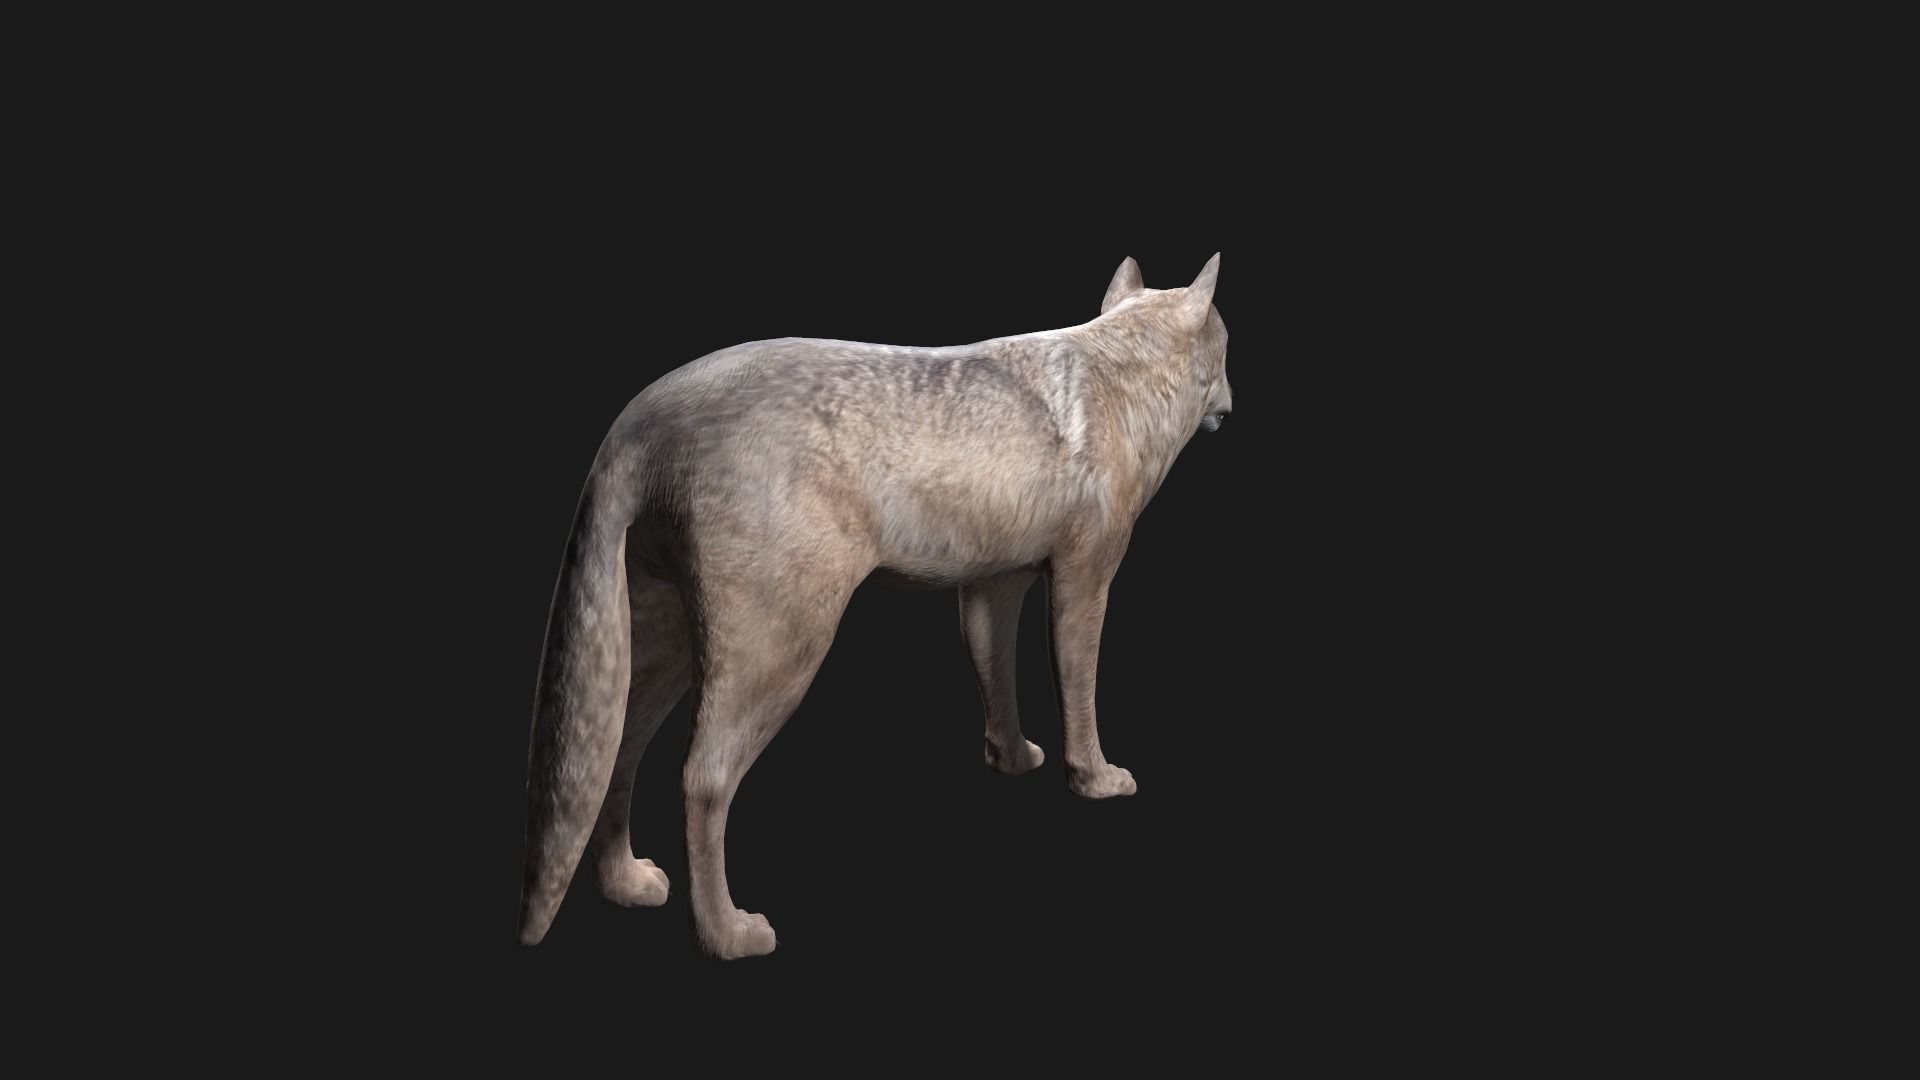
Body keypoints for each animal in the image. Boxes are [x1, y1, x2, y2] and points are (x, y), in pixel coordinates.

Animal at [519, 254, 1233, 957]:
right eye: (1227, 350)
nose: (1234, 401)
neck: (1121, 374)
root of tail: (648, 405)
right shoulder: (1084, 578)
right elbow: (1079, 690)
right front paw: (1095, 778)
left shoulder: (991, 587)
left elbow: (997, 682)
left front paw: (1011, 760)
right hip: (779, 659)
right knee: (702, 778)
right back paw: (727, 934)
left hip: (664, 655)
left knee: (617, 754)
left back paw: (626, 884)